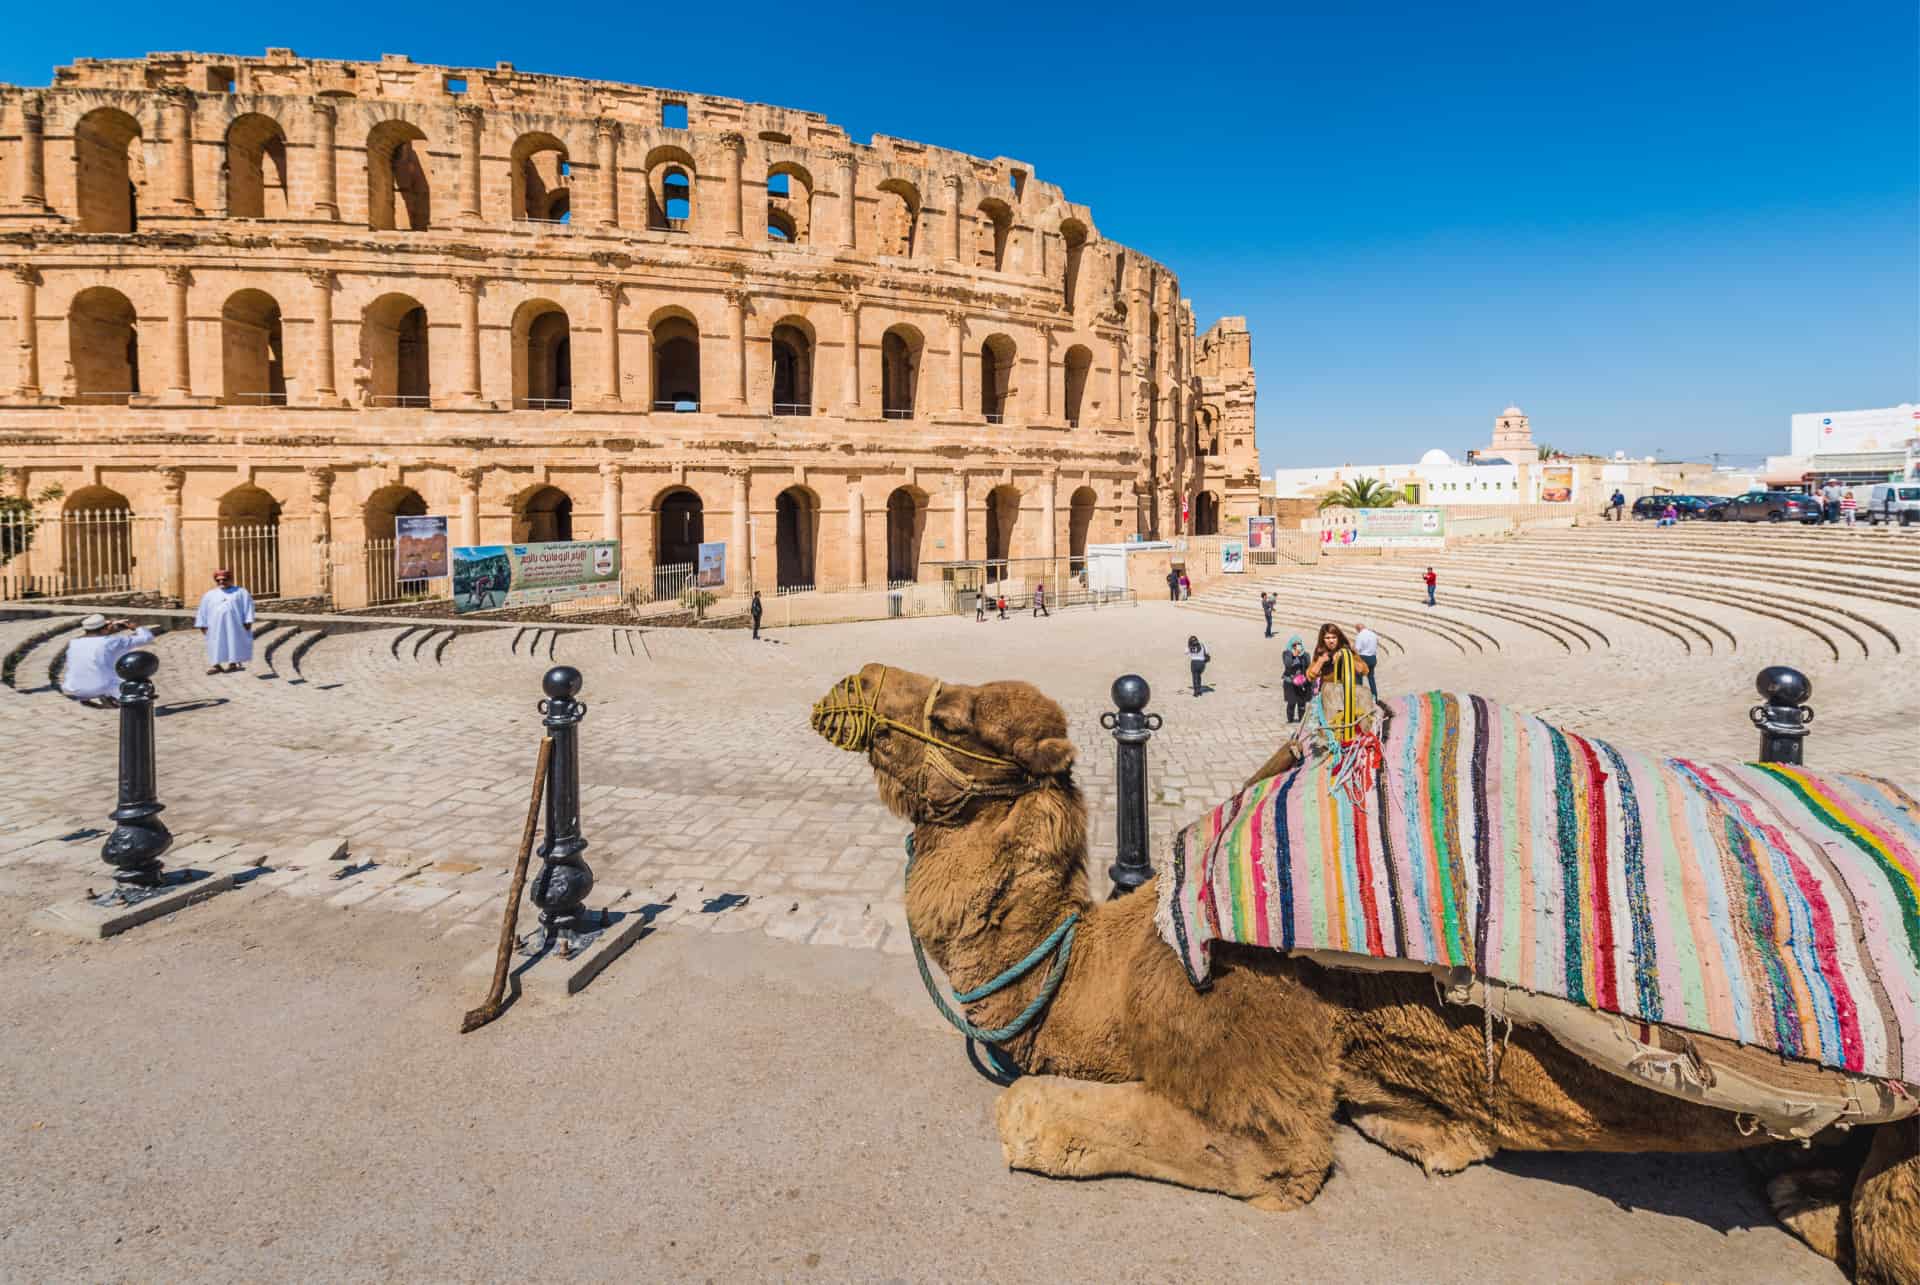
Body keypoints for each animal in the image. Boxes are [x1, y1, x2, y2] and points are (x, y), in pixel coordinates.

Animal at [814, 668, 1920, 1275]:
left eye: (954, 716)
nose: (851, 681)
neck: (1109, 964)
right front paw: (1435, 1131)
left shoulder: (1253, 1033)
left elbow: (1040, 1114)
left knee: (1881, 1232)